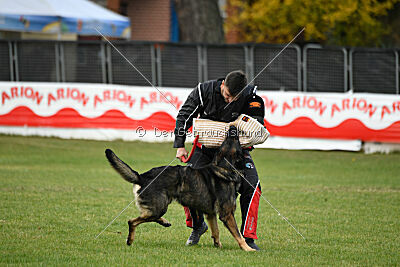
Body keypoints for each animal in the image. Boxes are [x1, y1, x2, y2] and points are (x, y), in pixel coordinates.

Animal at [105, 126, 256, 252]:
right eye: (236, 140)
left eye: (226, 139)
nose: (232, 127)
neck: (224, 166)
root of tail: (141, 177)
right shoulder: (227, 214)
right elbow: (238, 235)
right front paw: (247, 249)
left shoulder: (210, 214)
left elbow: (216, 231)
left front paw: (217, 245)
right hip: (159, 207)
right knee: (133, 221)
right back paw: (130, 240)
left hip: (158, 208)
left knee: (147, 216)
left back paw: (164, 222)